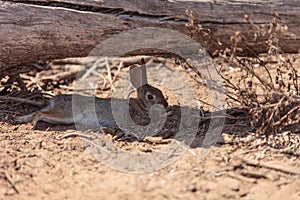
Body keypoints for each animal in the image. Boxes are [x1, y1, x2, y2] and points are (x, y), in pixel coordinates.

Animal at [15, 58, 169, 129]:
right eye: (150, 97)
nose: (166, 104)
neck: (141, 106)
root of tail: (55, 100)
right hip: (67, 114)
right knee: (39, 113)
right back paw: (33, 124)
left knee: (38, 112)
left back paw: (20, 119)